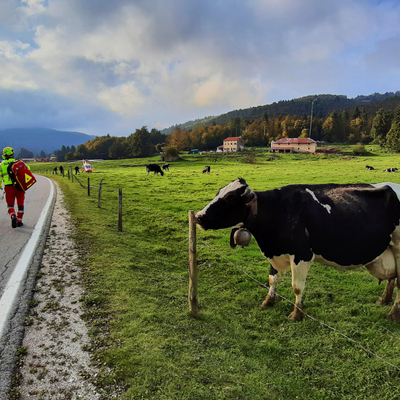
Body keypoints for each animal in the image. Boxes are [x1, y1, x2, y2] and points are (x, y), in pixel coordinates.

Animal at [195, 178, 400, 322]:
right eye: (218, 192)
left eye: (230, 198)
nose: (198, 216)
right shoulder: (274, 253)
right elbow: (272, 279)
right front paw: (268, 302)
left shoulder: (302, 255)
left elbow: (297, 287)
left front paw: (296, 314)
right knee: (393, 278)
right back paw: (384, 300)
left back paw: (393, 315)